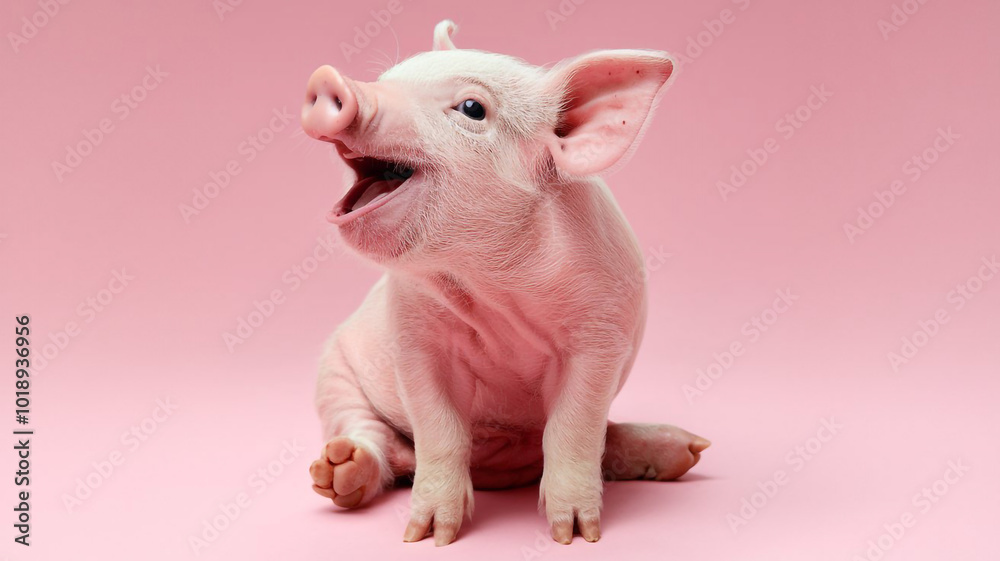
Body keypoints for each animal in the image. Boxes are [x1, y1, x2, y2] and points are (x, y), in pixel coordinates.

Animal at [303, 19, 709, 546]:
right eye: (390, 77)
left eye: (472, 108)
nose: (327, 79)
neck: (493, 286)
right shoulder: (413, 339)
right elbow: (441, 430)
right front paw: (427, 536)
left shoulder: (602, 337)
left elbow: (573, 430)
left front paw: (574, 535)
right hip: (334, 374)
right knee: (374, 441)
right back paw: (338, 467)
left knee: (606, 435)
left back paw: (689, 450)